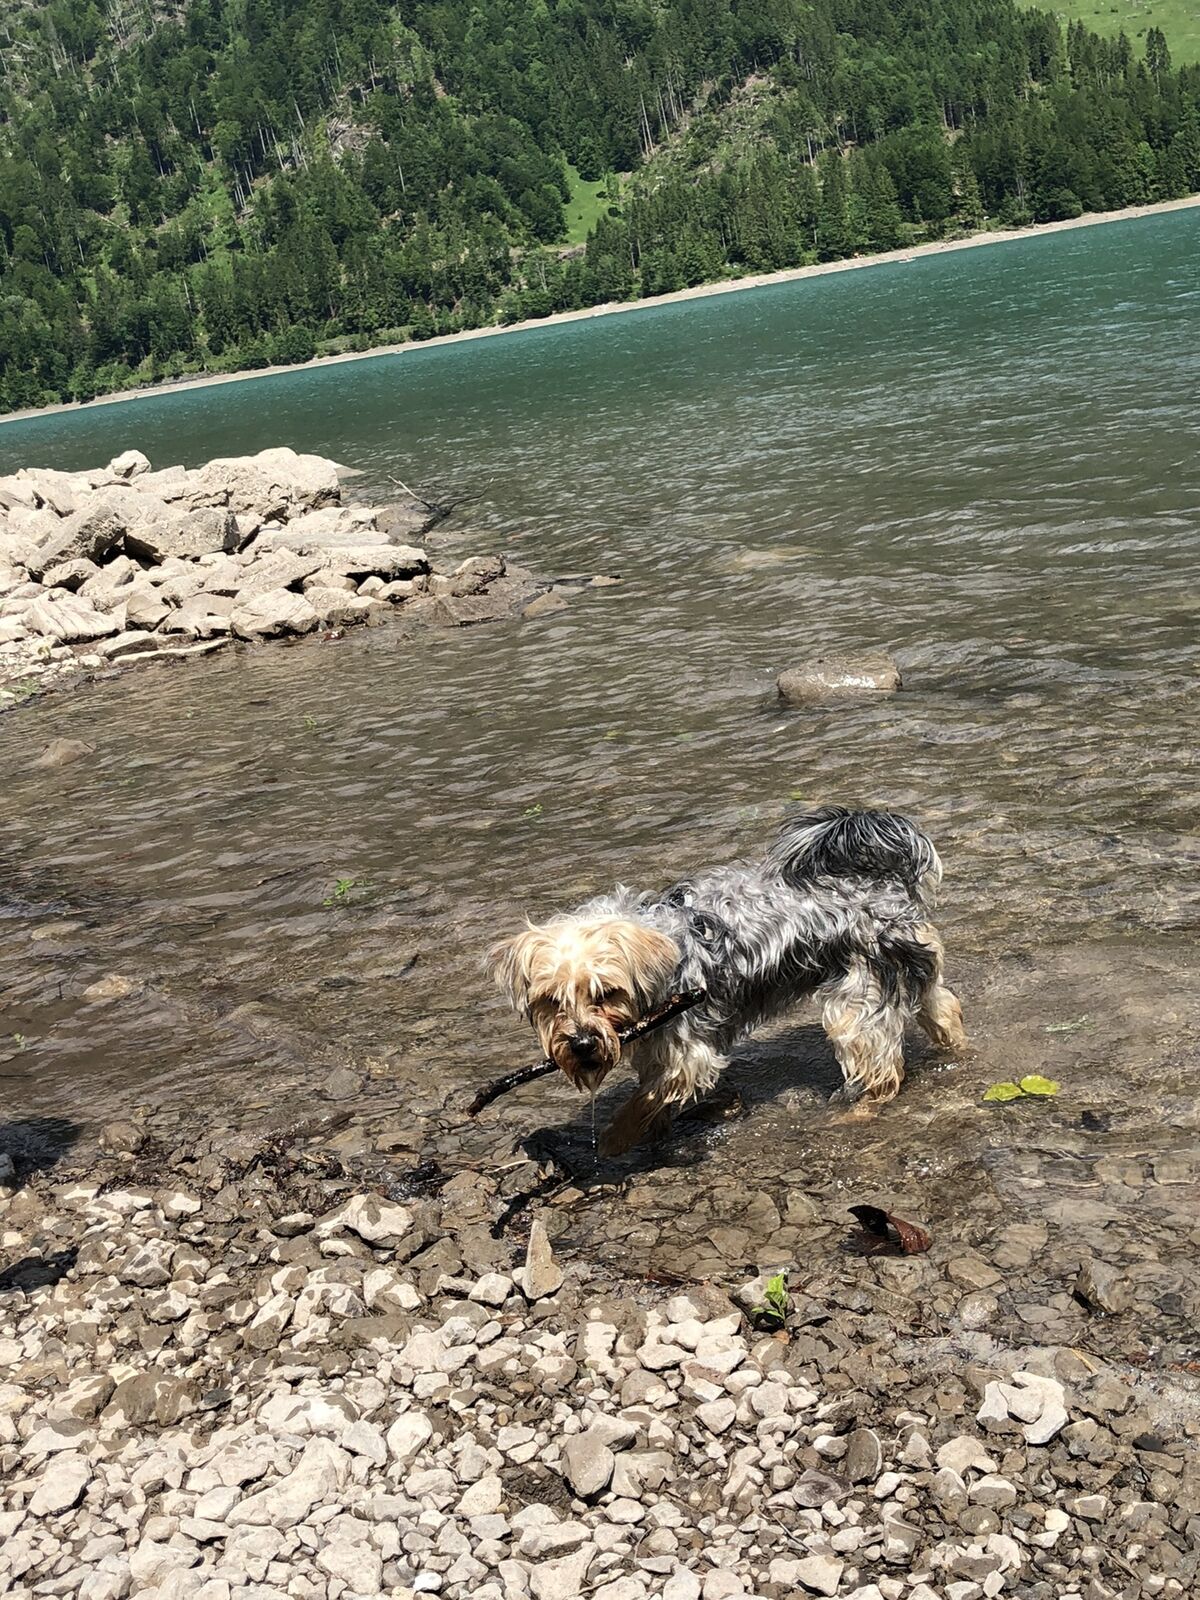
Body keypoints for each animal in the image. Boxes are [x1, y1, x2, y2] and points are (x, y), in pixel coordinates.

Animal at [488, 806, 966, 1155]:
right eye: (550, 1000)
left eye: (606, 993)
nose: (582, 1044)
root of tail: (882, 883)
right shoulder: (659, 1047)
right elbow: (654, 1092)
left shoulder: (687, 1054)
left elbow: (643, 1102)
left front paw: (612, 1142)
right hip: (913, 969)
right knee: (943, 1006)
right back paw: (956, 1046)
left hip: (858, 1000)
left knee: (882, 1070)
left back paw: (855, 1110)